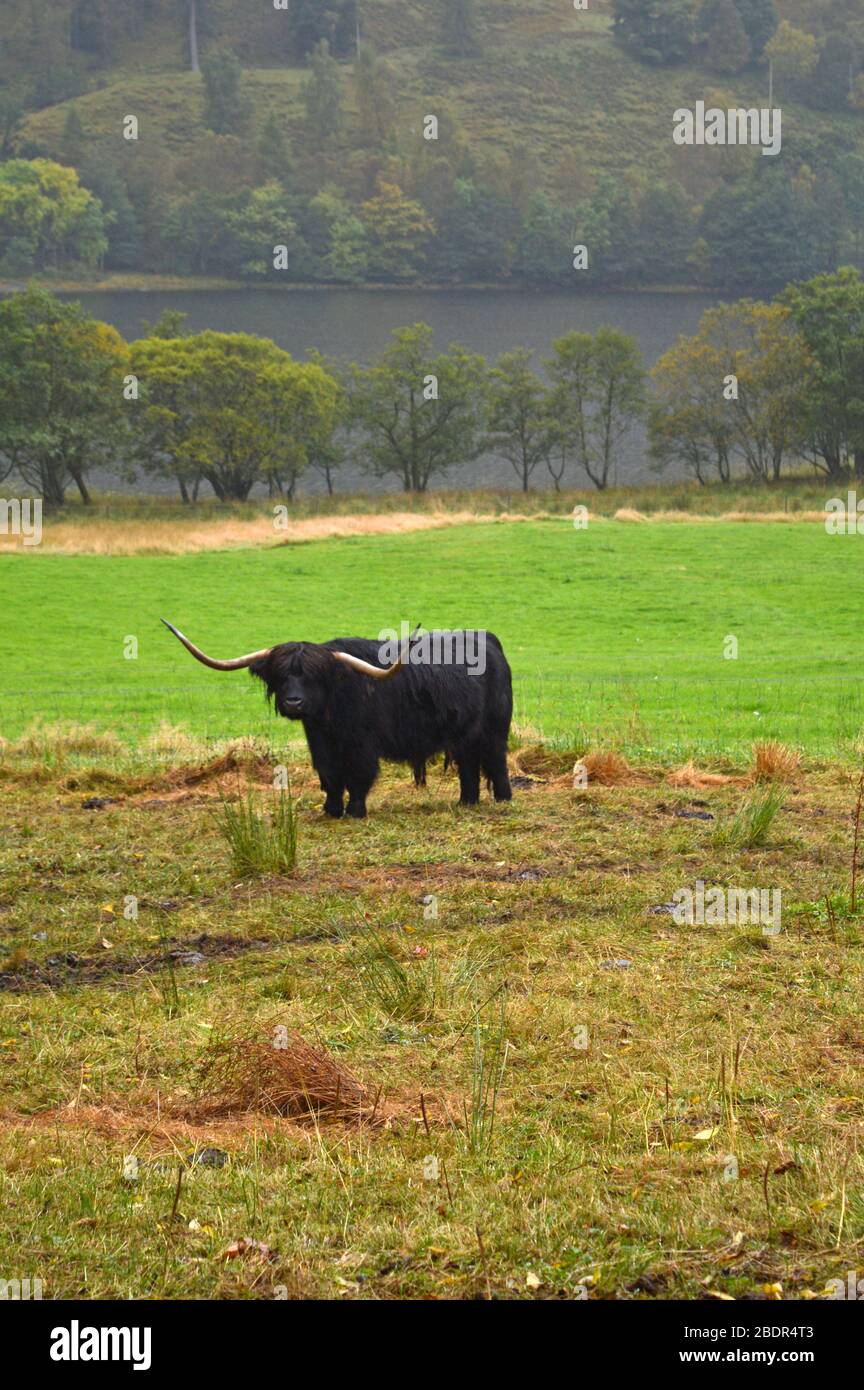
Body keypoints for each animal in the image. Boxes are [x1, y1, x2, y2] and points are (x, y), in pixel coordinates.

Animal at [161, 620, 513, 819]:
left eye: (313, 676)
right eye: (281, 675)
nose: (293, 702)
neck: (330, 716)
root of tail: (488, 639)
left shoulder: (361, 744)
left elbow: (358, 776)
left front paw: (355, 812)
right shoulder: (320, 743)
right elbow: (330, 777)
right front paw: (331, 811)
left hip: (494, 730)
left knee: (495, 762)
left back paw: (503, 799)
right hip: (464, 736)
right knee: (469, 767)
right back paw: (466, 802)